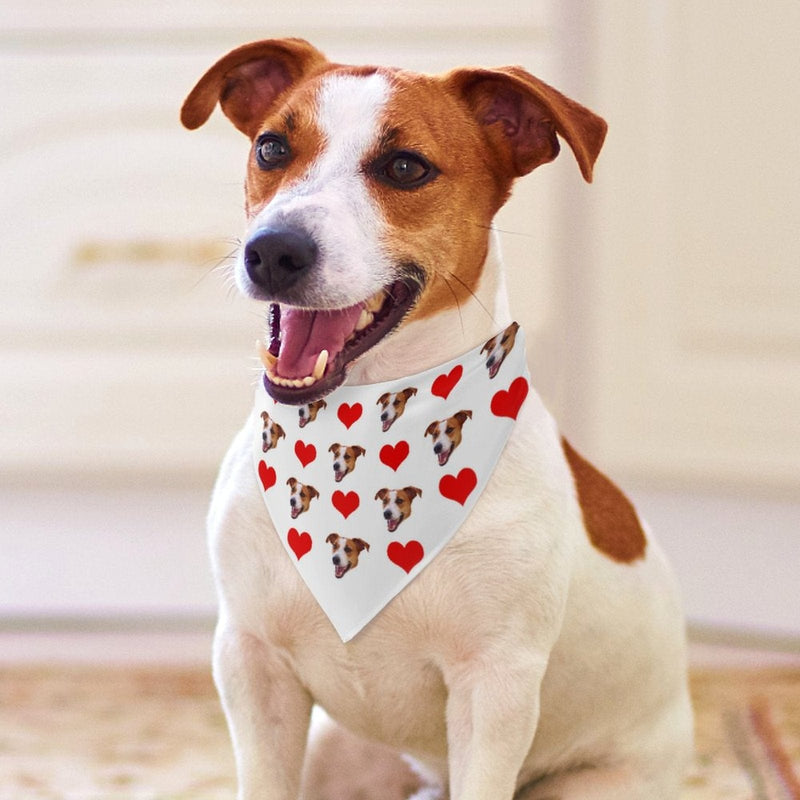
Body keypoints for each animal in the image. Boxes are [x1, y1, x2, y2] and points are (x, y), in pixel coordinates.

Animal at [184, 36, 692, 800]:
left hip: (590, 783)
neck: (365, 414)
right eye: (272, 147)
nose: (273, 250)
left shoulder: (495, 687)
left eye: (405, 167)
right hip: (336, 751)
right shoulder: (251, 663)